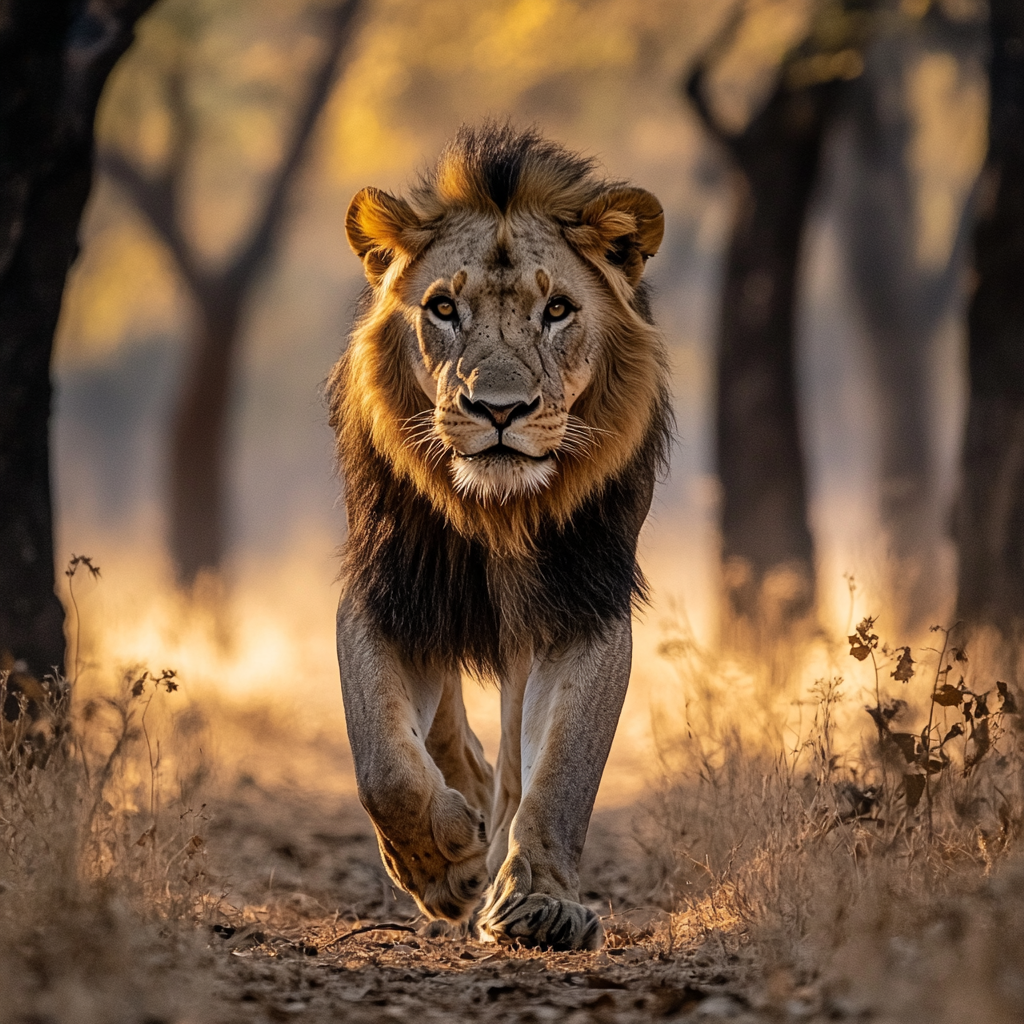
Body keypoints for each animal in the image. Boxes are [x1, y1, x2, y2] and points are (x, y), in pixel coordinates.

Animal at [327, 125, 675, 950]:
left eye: (558, 309)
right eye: (442, 307)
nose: (500, 409)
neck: (496, 513)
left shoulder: (583, 604)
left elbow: (562, 769)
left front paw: (540, 898)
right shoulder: (389, 590)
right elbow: (383, 763)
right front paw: (443, 862)